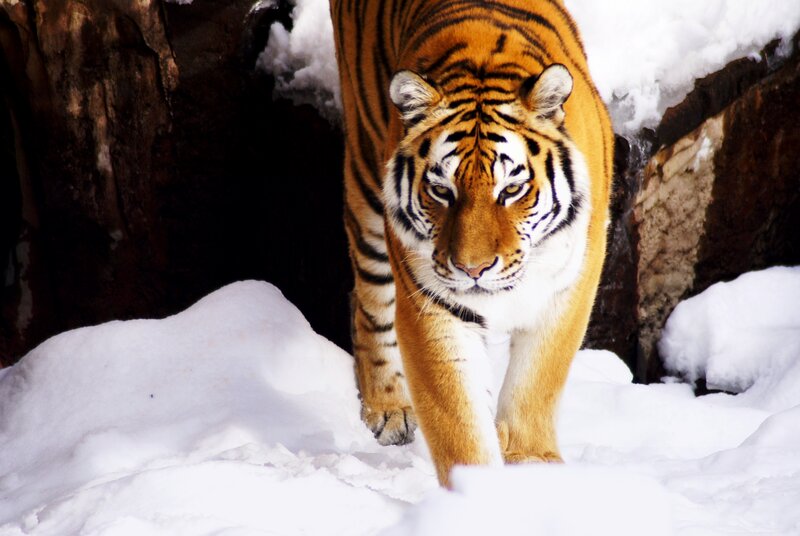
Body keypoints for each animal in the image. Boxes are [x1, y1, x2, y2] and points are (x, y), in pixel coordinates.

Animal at [330, 0, 613, 486]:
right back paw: (388, 408)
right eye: (441, 191)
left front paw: (533, 464)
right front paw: (479, 491)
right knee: (368, 301)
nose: (472, 269)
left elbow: (537, 381)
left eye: (511, 190)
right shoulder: (431, 305)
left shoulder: (571, 286)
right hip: (366, 181)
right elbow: (457, 419)